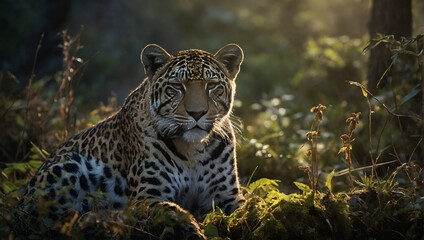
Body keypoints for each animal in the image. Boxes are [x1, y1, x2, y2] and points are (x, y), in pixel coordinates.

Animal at [24, 43, 245, 238]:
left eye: (212, 86)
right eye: (176, 87)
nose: (197, 113)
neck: (193, 150)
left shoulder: (227, 195)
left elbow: (245, 213)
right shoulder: (147, 196)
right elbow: (172, 212)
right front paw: (192, 232)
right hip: (67, 167)